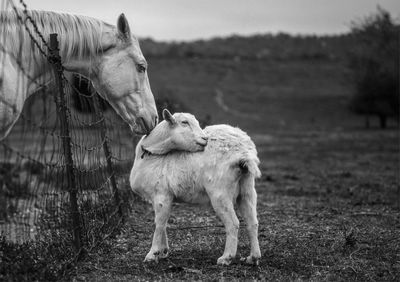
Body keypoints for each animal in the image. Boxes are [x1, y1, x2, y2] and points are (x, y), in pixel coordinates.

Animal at [130, 109, 262, 266]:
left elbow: (159, 223)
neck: (151, 154)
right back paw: (253, 257)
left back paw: (226, 258)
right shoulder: (163, 196)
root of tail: (244, 152)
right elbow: (162, 222)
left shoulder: (161, 193)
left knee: (233, 223)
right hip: (247, 188)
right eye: (184, 122)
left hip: (220, 191)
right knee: (252, 222)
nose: (205, 139)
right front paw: (163, 252)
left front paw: (152, 254)